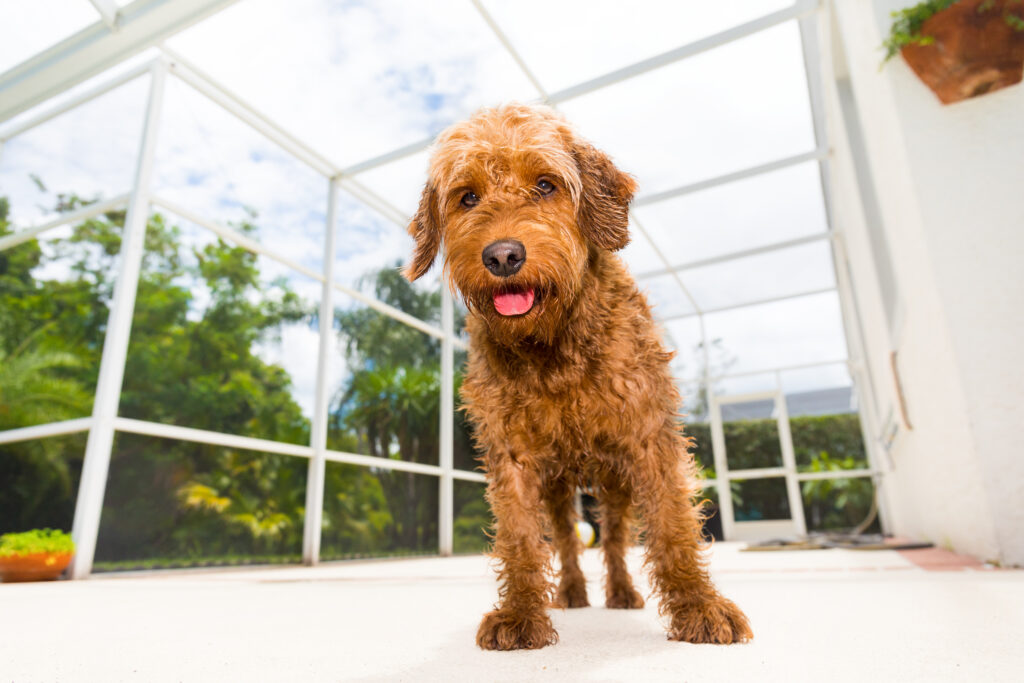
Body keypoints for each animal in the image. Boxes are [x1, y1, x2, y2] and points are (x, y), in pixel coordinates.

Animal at [401, 102, 753, 651]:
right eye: (467, 197)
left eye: (546, 184)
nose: (503, 256)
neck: (552, 350)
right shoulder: (513, 455)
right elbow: (521, 538)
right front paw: (522, 613)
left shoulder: (649, 438)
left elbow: (673, 525)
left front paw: (699, 605)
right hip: (560, 488)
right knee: (567, 539)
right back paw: (569, 591)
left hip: (614, 484)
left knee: (613, 539)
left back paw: (622, 590)